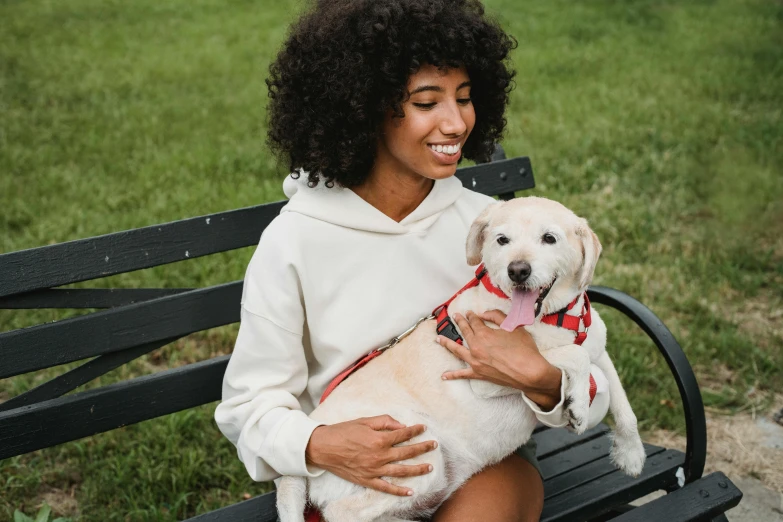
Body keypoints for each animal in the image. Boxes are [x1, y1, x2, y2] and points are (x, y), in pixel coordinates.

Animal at [278, 196, 648, 520]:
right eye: (502, 239)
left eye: (549, 238)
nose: (518, 270)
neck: (555, 317)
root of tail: (296, 470)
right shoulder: (488, 376)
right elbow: (573, 355)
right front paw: (578, 405)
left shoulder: (599, 349)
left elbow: (621, 402)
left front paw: (631, 455)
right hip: (417, 448)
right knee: (341, 513)